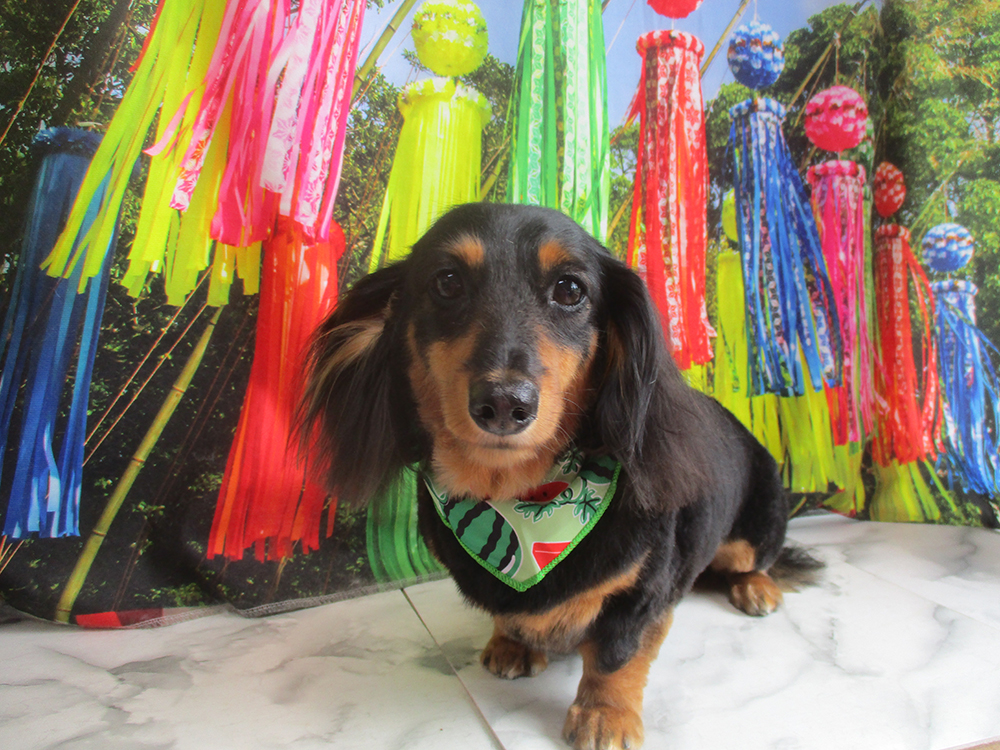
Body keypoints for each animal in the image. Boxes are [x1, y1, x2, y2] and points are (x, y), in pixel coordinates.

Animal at [302, 203, 820, 750]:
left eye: (570, 290)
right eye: (446, 281)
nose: (504, 404)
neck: (520, 497)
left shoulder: (639, 597)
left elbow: (617, 656)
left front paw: (605, 715)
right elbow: (512, 617)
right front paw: (512, 643)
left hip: (753, 526)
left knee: (753, 559)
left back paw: (757, 589)